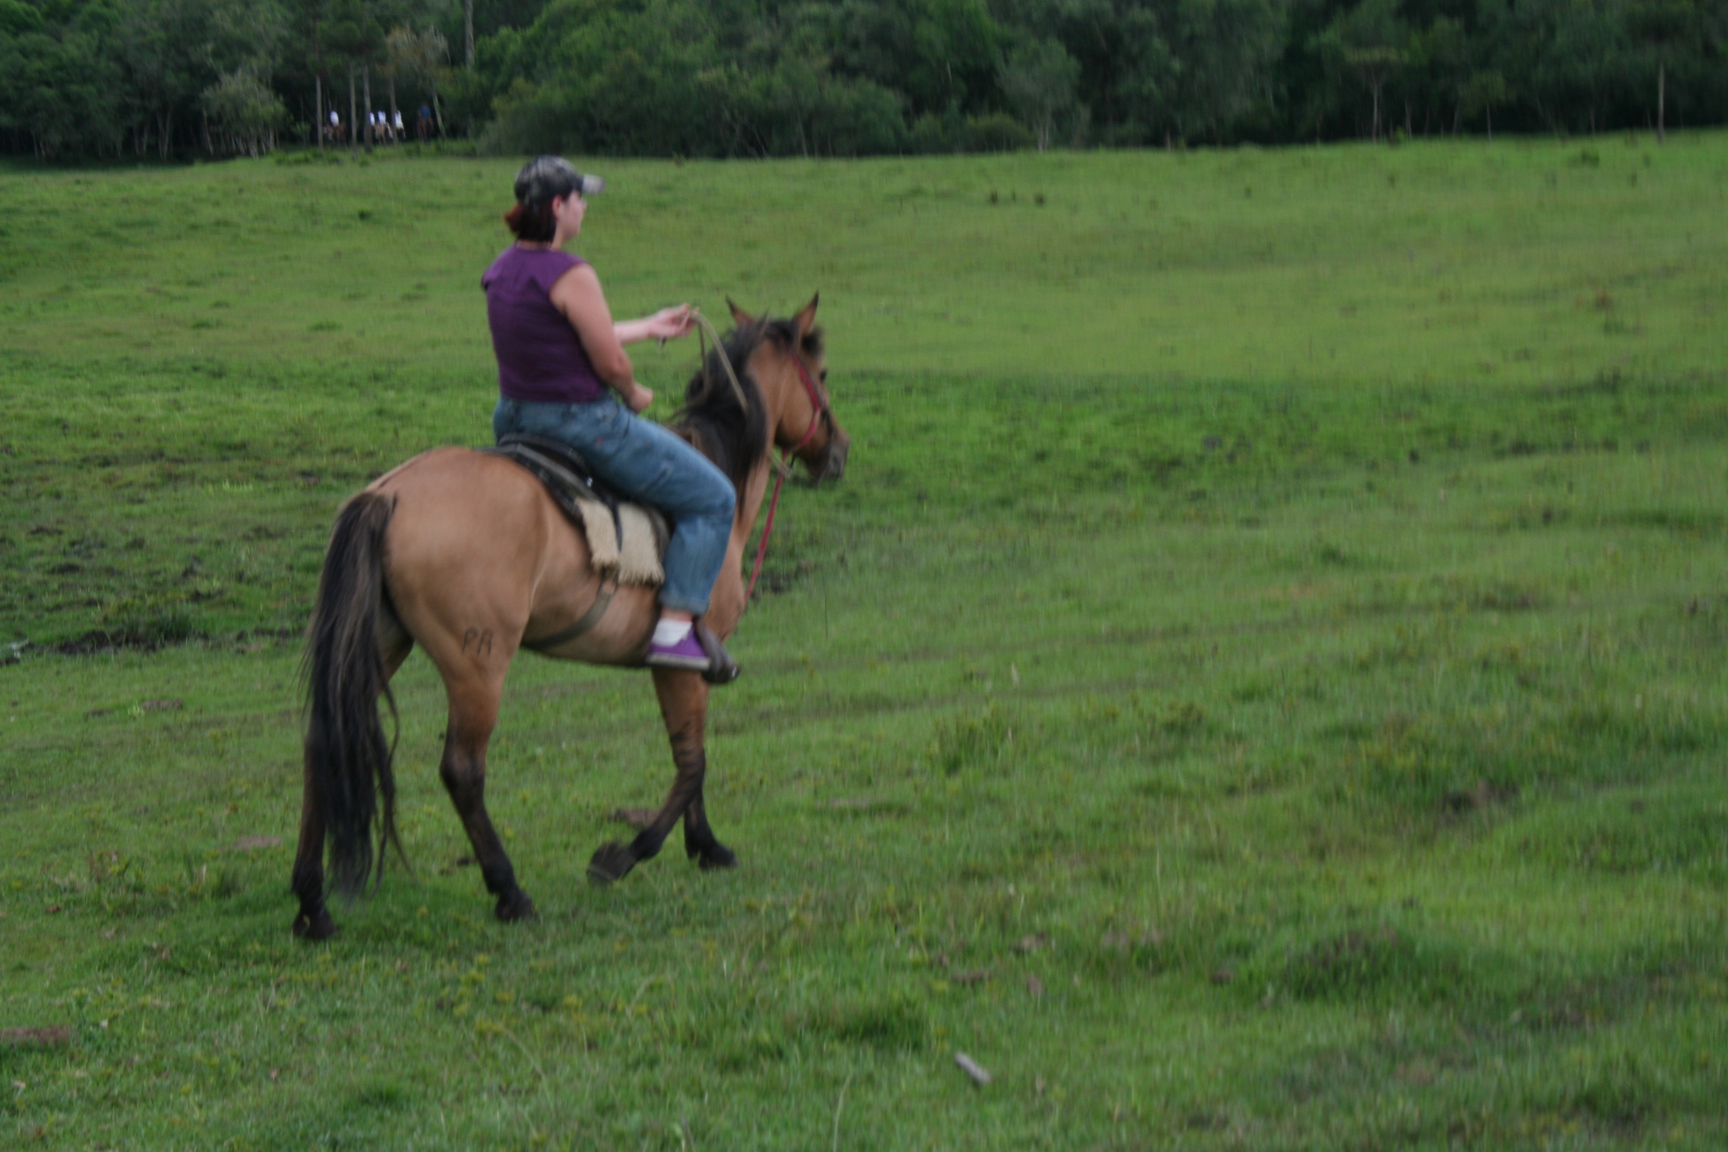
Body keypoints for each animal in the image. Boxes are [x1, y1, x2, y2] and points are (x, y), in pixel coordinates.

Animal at [293, 297, 846, 939]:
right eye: (822, 374)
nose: (838, 452)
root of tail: (388, 495)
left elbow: (693, 757)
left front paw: (705, 846)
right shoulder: (678, 661)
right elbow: (692, 762)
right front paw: (626, 854)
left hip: (383, 642)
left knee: (323, 747)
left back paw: (312, 905)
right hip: (478, 664)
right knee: (463, 770)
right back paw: (510, 892)